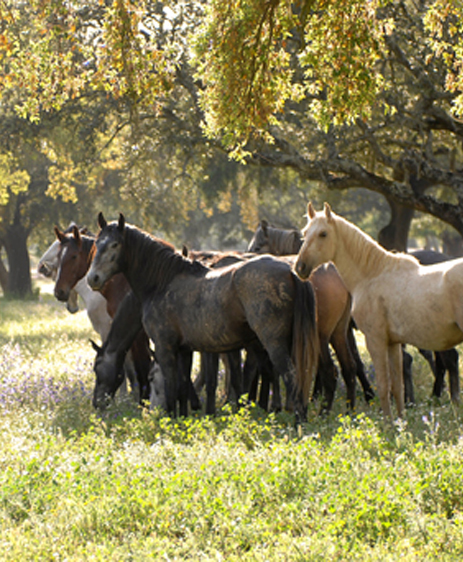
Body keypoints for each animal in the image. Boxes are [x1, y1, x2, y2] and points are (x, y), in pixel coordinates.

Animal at [87, 212, 320, 422]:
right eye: (97, 243)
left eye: (115, 245)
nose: (93, 278)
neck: (162, 282)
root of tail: (291, 271)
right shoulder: (184, 350)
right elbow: (183, 386)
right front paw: (183, 419)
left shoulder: (165, 348)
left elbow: (172, 388)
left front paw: (169, 422)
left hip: (273, 343)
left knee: (290, 377)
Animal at [296, 200, 463, 416]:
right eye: (304, 233)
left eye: (323, 233)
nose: (300, 267)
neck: (372, 274)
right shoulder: (393, 343)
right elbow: (397, 387)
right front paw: (400, 421)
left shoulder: (375, 340)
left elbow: (384, 386)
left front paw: (388, 422)